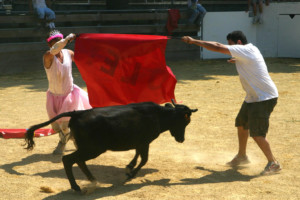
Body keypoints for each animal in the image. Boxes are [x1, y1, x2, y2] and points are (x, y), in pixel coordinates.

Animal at [24, 101, 198, 191]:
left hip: (88, 148)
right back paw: (76, 187)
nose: (181, 139)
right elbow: (144, 159)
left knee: (79, 161)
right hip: (92, 149)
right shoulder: (144, 142)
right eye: (186, 121)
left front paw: (129, 167)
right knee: (69, 160)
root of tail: (77, 112)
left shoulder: (139, 142)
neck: (159, 115)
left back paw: (92, 180)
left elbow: (137, 156)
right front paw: (130, 174)